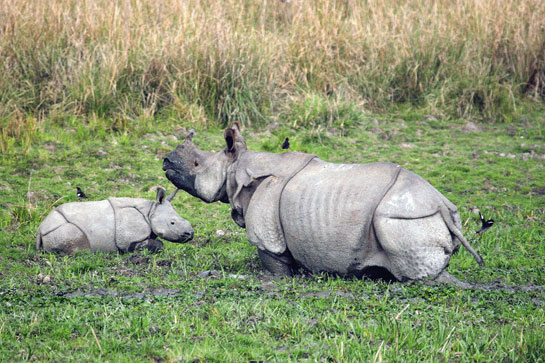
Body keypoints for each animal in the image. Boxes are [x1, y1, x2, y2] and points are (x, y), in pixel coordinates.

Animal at [36, 188, 193, 253]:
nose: (190, 234)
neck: (150, 211)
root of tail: (40, 229)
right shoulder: (128, 238)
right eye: (172, 223)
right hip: (60, 228)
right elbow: (158, 244)